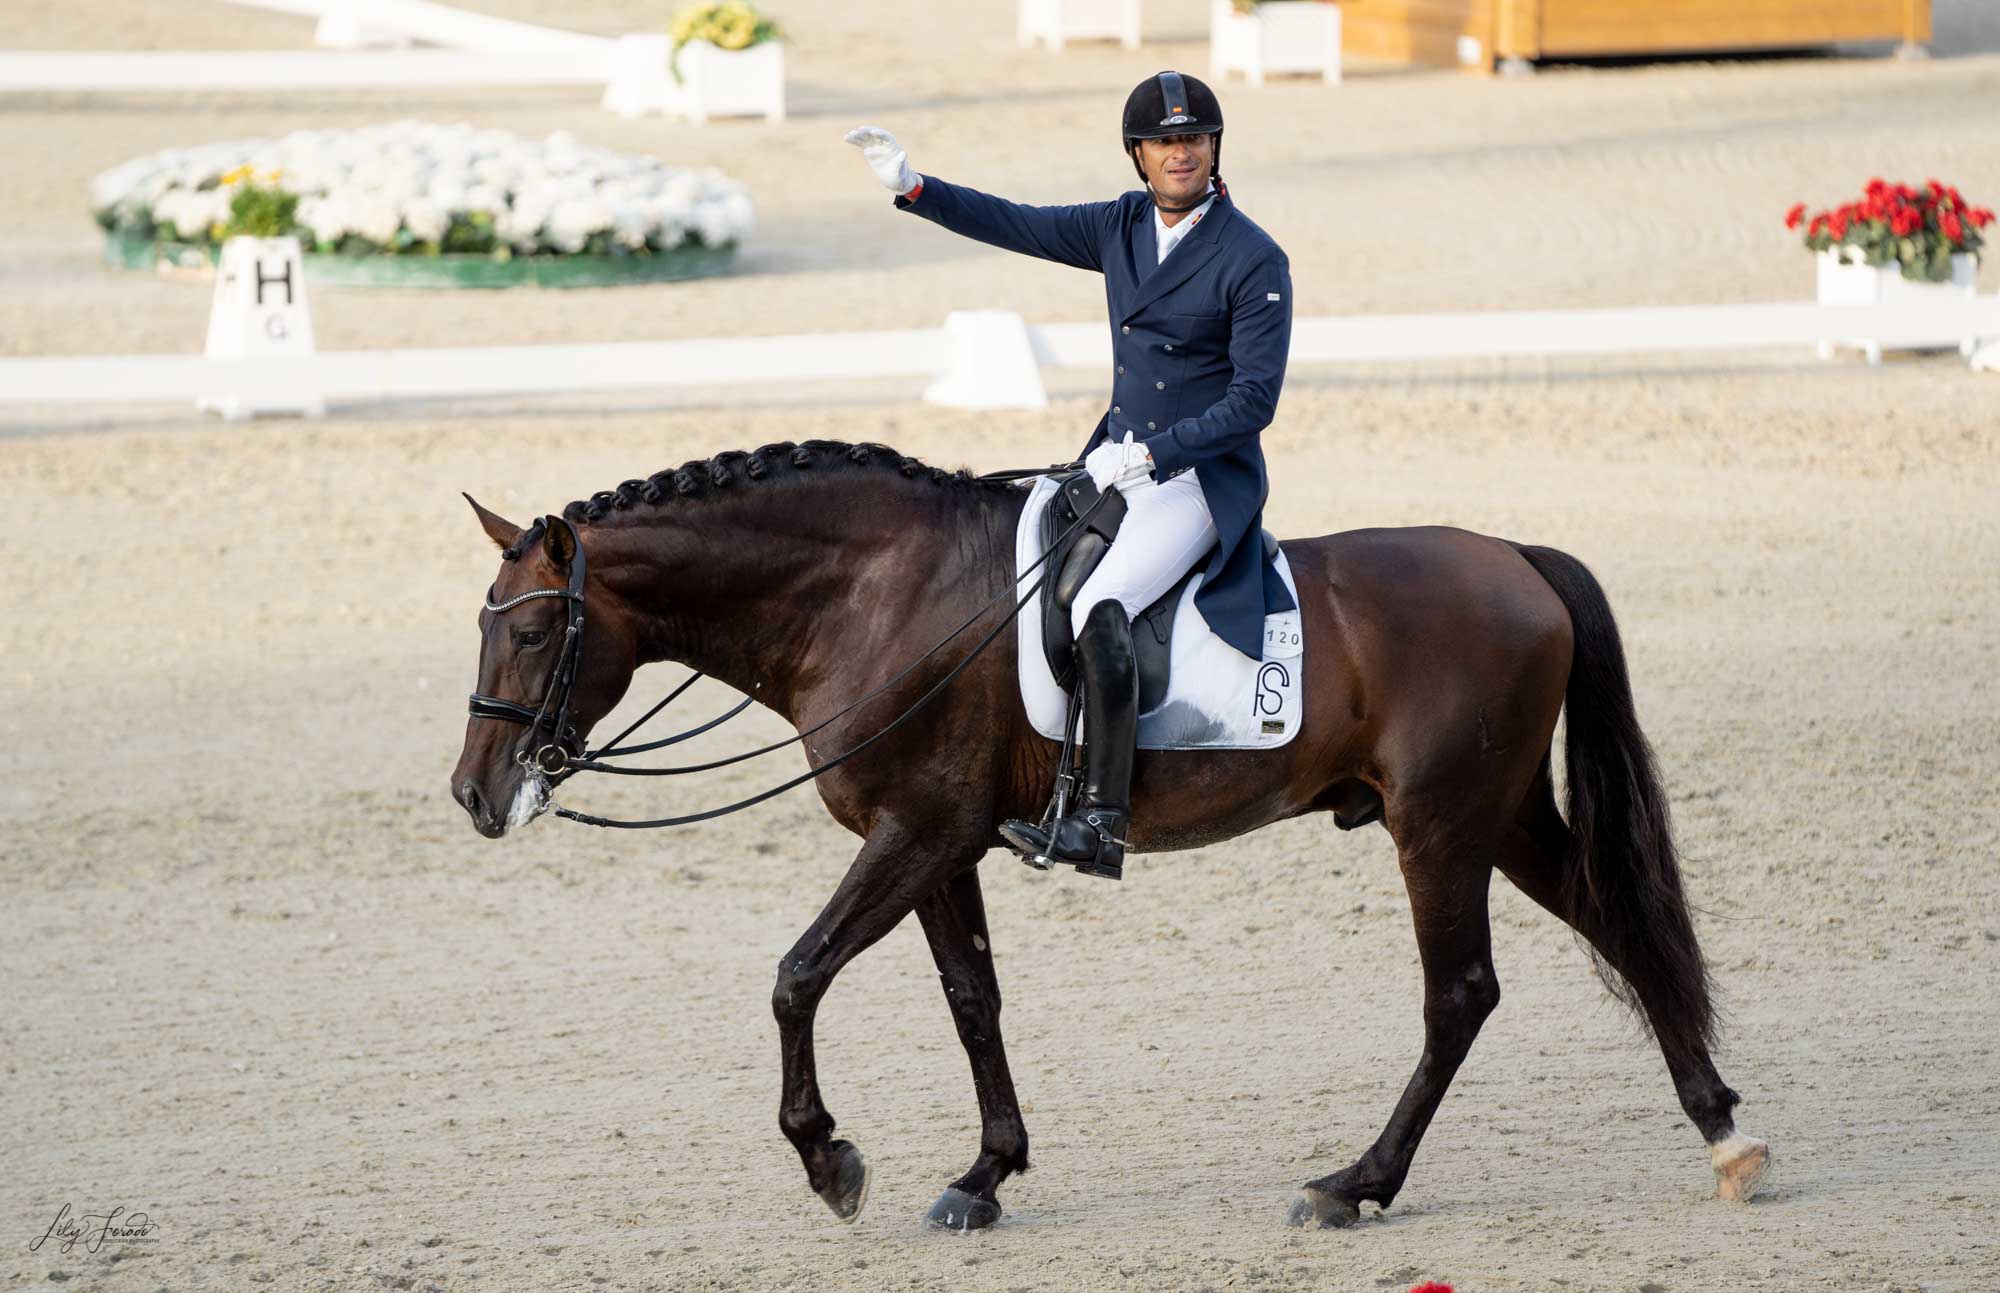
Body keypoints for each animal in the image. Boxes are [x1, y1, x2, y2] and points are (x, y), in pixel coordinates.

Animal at [450, 442, 1768, 1232]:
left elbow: (794, 976)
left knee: (1461, 994)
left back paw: (1354, 1184)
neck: (870, 597)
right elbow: (969, 997)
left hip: (1439, 825)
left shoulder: (915, 831)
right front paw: (984, 1176)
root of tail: (1515, 558)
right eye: (484, 625)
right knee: (1620, 927)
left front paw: (830, 1161)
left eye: (531, 635)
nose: (472, 793)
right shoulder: (940, 841)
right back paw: (1722, 1133)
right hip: (1495, 816)